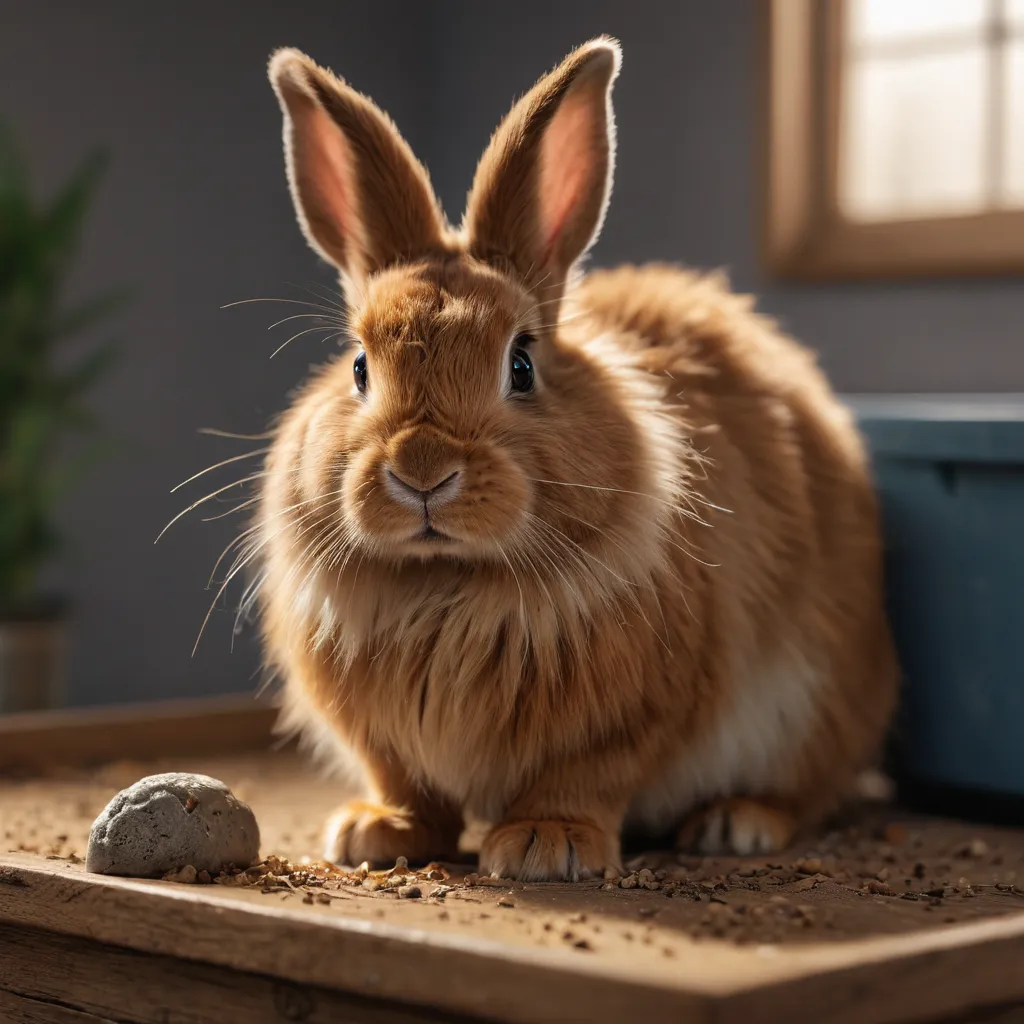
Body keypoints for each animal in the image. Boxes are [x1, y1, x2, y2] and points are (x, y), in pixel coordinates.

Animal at [256, 37, 899, 882]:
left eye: (522, 364)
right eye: (359, 366)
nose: (423, 472)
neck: (447, 582)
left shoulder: (633, 714)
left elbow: (585, 774)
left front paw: (544, 844)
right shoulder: (384, 741)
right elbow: (407, 785)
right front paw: (375, 833)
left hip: (817, 706)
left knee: (807, 791)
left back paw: (735, 824)